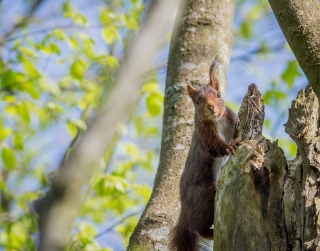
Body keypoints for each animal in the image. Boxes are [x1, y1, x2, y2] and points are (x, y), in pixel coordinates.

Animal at [169, 60, 239, 251]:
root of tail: (184, 212)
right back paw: (210, 233)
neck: (218, 120)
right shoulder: (205, 135)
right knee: (199, 228)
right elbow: (215, 147)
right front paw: (230, 146)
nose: (211, 107)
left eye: (218, 95)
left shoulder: (231, 118)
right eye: (197, 102)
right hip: (204, 195)